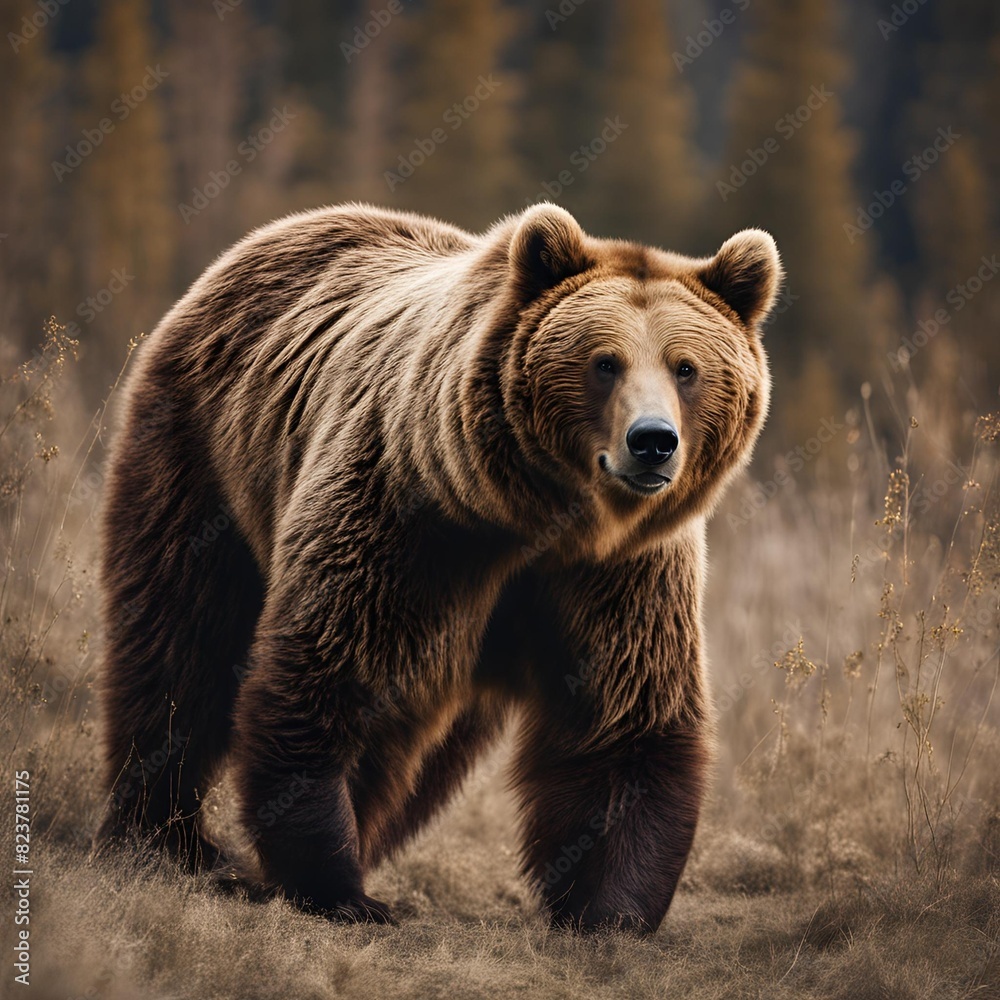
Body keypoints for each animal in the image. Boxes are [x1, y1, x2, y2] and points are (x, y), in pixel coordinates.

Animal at [95, 199, 780, 932]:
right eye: (605, 362)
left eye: (687, 367)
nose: (652, 442)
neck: (536, 518)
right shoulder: (408, 523)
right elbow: (329, 673)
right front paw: (334, 884)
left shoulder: (616, 575)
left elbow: (625, 716)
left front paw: (610, 908)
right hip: (204, 459)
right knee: (180, 642)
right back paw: (164, 838)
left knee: (423, 749)